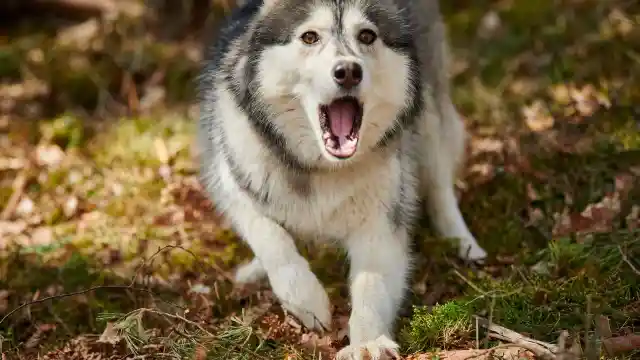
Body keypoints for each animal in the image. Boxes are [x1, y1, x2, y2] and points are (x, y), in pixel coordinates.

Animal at [198, 0, 488, 358]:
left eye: (367, 35)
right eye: (309, 36)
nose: (348, 71)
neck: (322, 167)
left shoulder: (379, 222)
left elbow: (371, 286)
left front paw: (367, 343)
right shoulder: (232, 180)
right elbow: (270, 237)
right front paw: (306, 300)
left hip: (430, 120)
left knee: (440, 186)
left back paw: (463, 243)